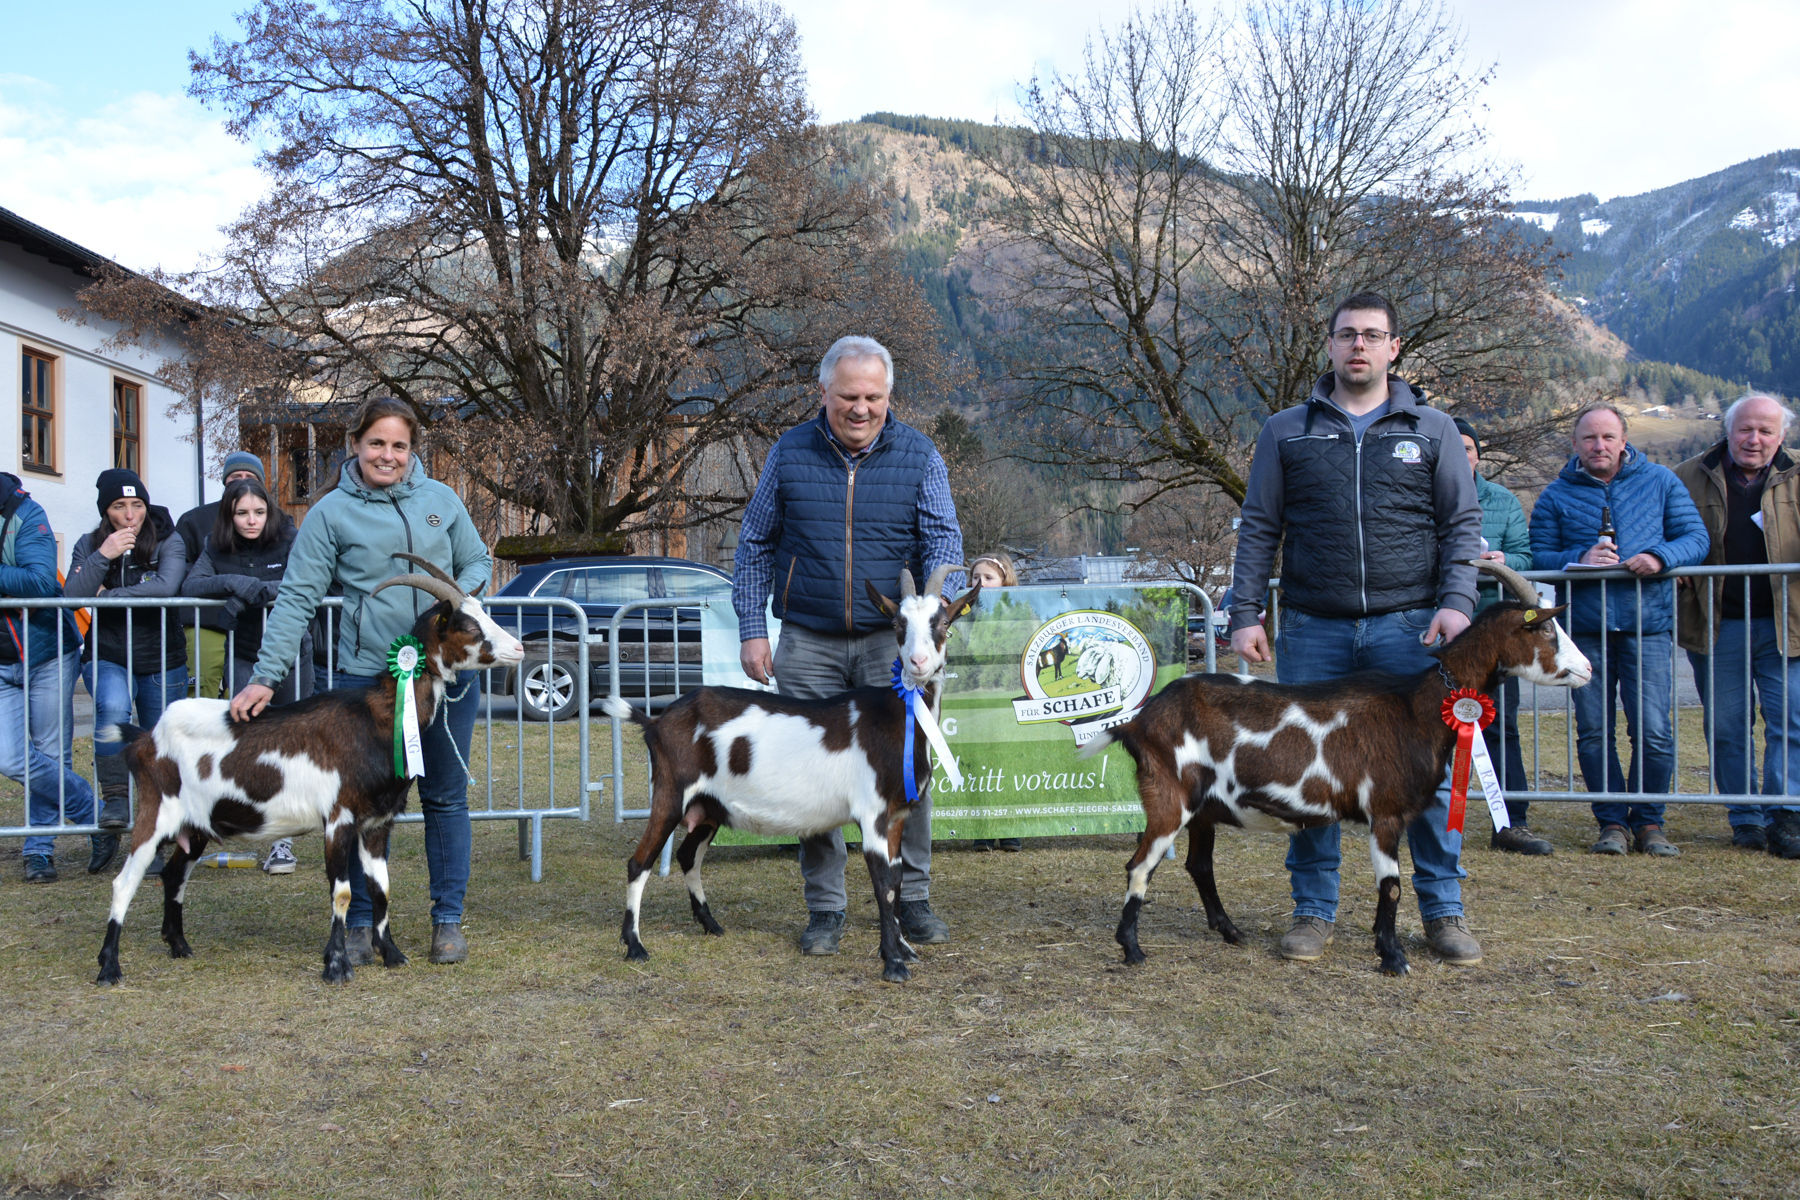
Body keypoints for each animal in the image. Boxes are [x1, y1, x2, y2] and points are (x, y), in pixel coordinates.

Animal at [93, 554, 522, 985]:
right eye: (469, 627)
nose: (519, 648)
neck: (375, 721)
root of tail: (146, 737)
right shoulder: (338, 818)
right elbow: (343, 892)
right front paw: (337, 966)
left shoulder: (377, 822)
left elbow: (381, 889)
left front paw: (392, 954)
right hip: (156, 812)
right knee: (124, 882)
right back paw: (109, 967)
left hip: (196, 826)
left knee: (174, 875)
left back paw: (179, 945)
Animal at [604, 568, 979, 978]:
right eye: (898, 623)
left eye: (942, 623)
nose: (918, 661)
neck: (896, 716)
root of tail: (656, 721)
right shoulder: (873, 814)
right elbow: (883, 886)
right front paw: (893, 963)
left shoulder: (895, 816)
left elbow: (895, 882)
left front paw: (903, 950)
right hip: (671, 793)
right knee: (639, 862)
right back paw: (634, 945)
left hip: (709, 806)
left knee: (688, 855)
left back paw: (710, 923)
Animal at [1080, 564, 1591, 978]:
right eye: (1548, 630)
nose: (1587, 669)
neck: (1417, 709)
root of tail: (1139, 719)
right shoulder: (1385, 813)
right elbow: (1392, 888)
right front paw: (1393, 958)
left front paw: (1388, 951)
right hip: (1170, 798)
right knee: (1140, 865)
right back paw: (1132, 949)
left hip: (1204, 809)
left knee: (1198, 865)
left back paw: (1229, 931)